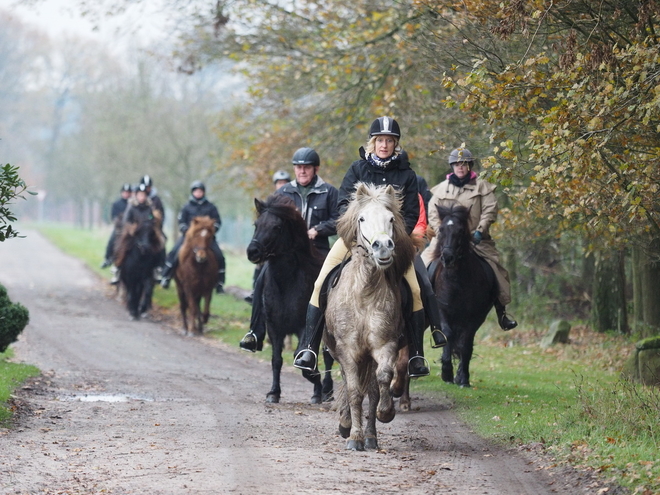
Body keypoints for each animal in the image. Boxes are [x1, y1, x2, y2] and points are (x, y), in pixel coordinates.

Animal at [246, 195, 332, 406]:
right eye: (256, 224)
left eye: (277, 227)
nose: (253, 252)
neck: (287, 282)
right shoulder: (274, 327)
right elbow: (276, 360)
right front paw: (273, 393)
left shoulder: (304, 327)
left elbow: (301, 357)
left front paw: (316, 388)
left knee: (328, 355)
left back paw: (326, 390)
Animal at [324, 183, 416, 454]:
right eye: (361, 218)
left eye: (391, 218)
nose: (383, 246)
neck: (365, 290)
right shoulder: (348, 350)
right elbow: (354, 391)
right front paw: (354, 436)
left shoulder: (385, 345)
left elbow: (382, 381)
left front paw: (385, 414)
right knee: (348, 383)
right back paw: (346, 424)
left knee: (373, 388)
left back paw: (371, 437)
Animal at [430, 203, 498, 390]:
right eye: (441, 229)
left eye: (460, 231)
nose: (447, 257)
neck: (456, 281)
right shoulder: (442, 310)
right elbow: (447, 334)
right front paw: (446, 372)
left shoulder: (475, 317)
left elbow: (465, 344)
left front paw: (463, 378)